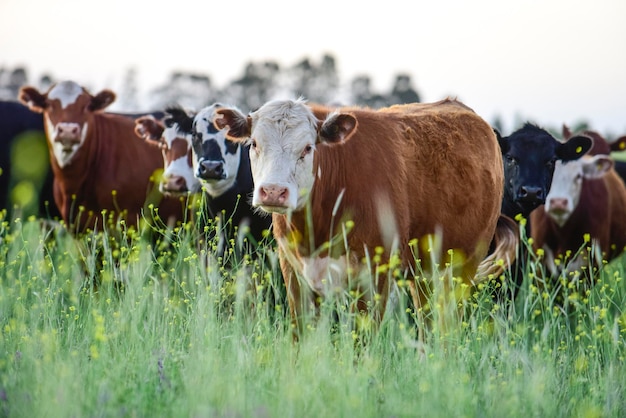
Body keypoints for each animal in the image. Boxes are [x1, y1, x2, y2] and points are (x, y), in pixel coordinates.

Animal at [212, 96, 516, 338]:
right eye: (254, 143)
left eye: (308, 148)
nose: (274, 191)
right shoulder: (294, 272)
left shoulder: (374, 275)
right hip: (424, 273)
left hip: (460, 269)